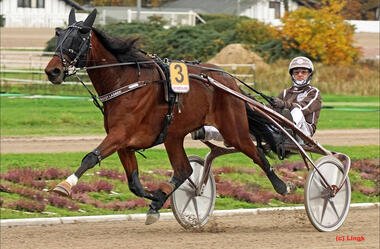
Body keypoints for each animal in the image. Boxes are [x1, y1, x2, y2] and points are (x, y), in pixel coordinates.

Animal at [44, 8, 294, 225]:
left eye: (77, 38)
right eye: (59, 36)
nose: (52, 71)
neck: (126, 82)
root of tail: (228, 79)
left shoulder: (119, 135)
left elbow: (90, 157)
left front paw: (65, 185)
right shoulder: (124, 144)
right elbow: (134, 184)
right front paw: (157, 197)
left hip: (234, 130)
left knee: (258, 154)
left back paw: (283, 186)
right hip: (174, 136)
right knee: (185, 170)